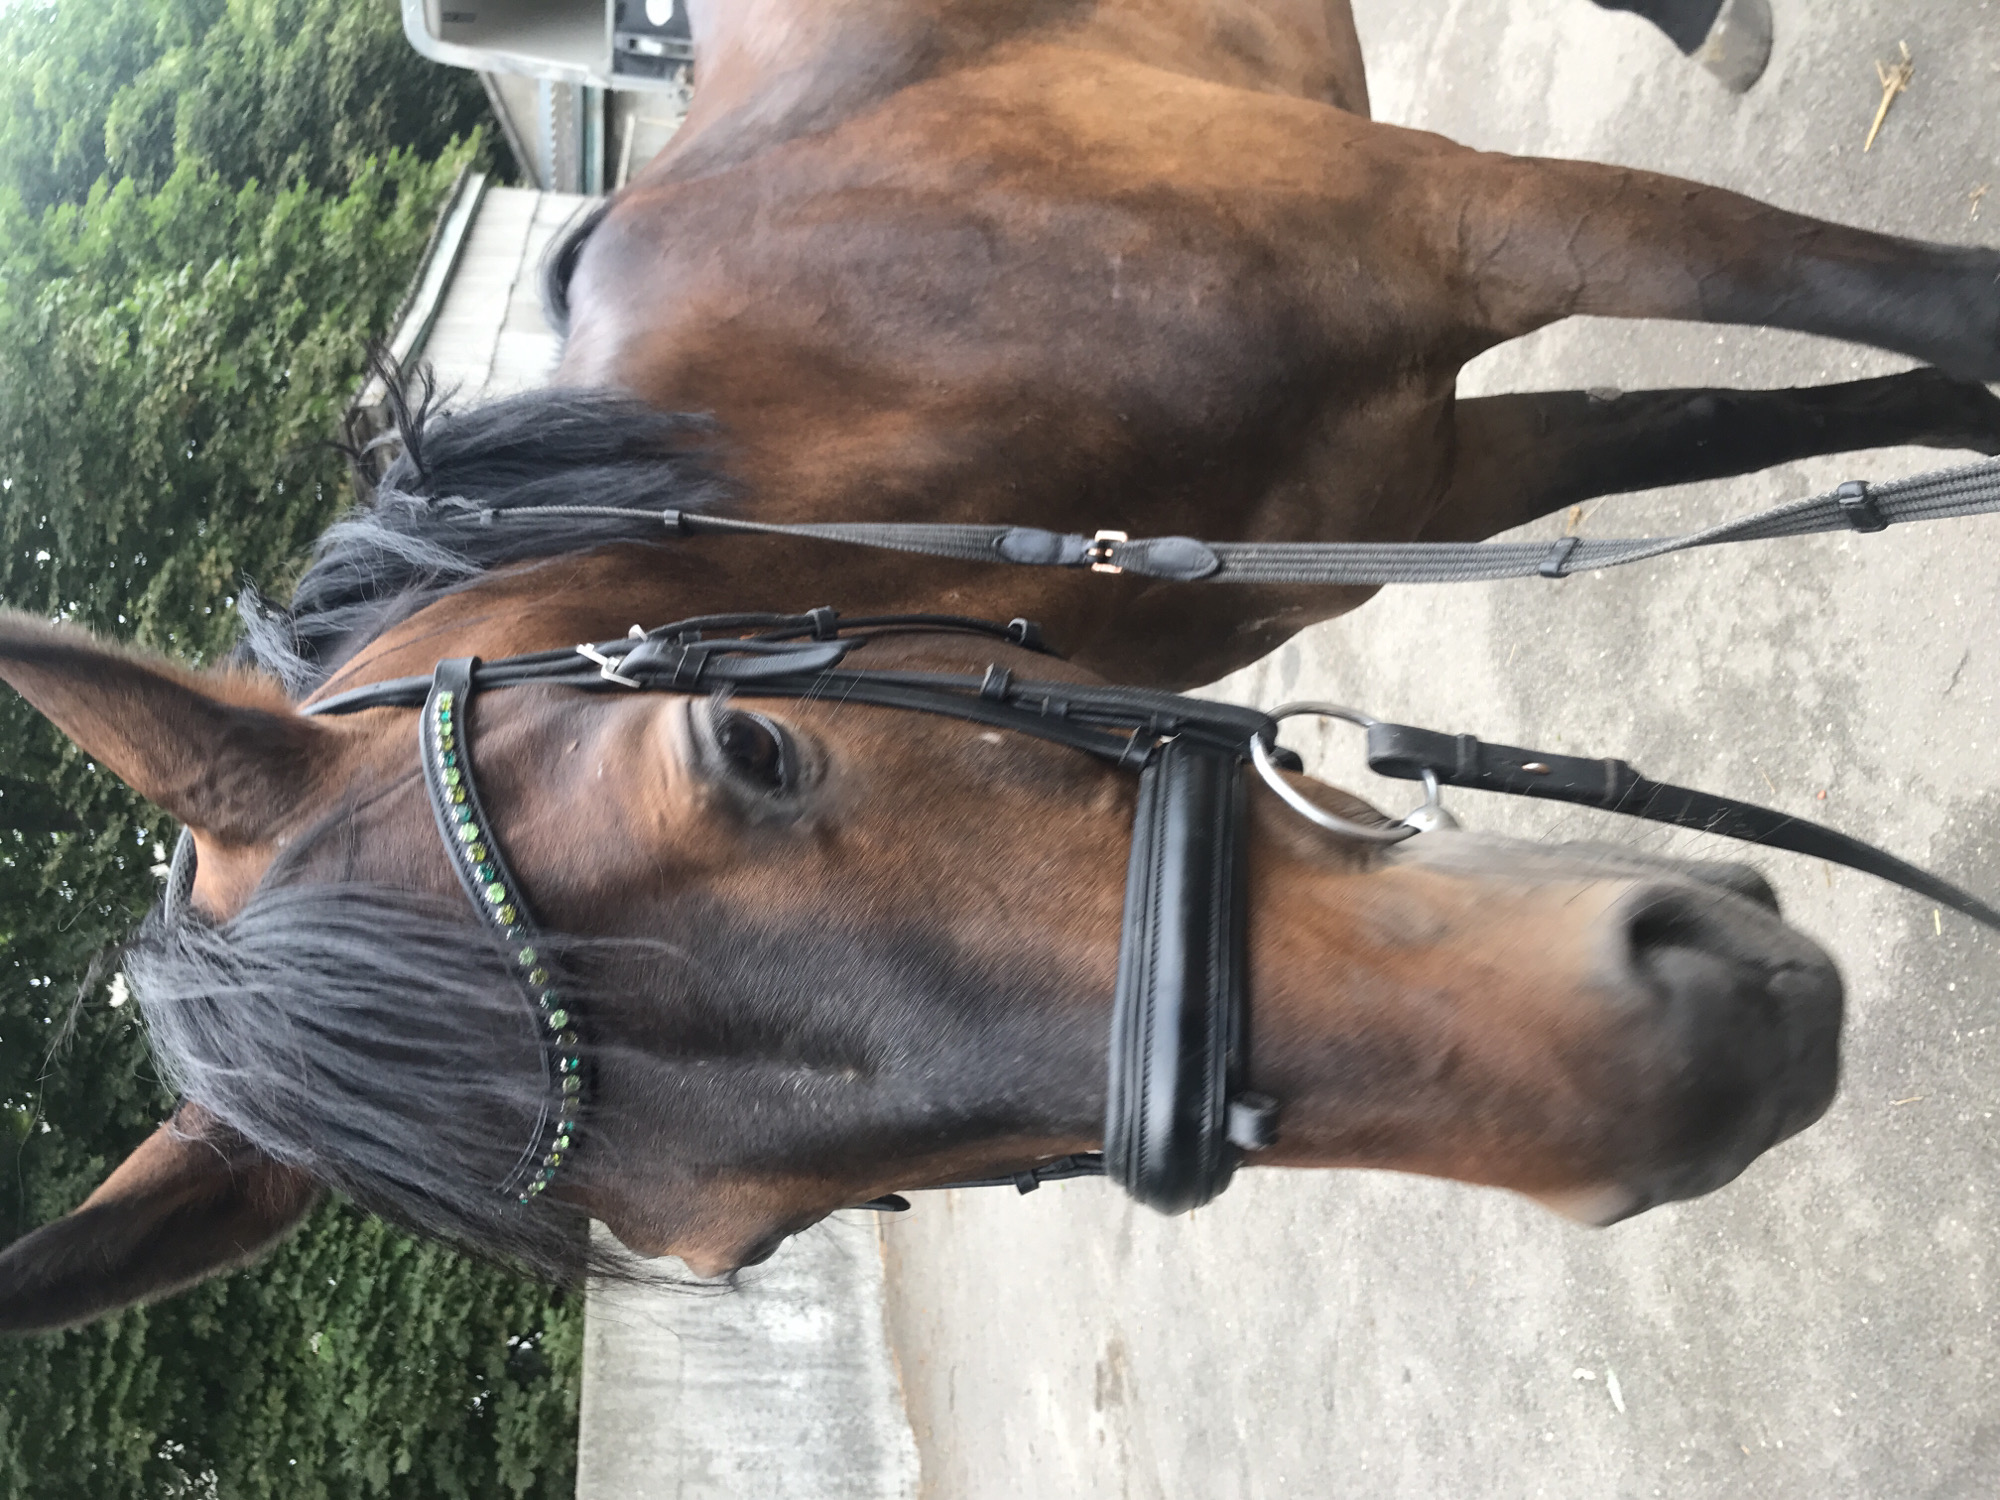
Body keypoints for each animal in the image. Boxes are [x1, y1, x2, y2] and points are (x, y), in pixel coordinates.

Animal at [5, 0, 1997, 1330]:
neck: (906, 344)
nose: (1703, 1060)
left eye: (748, 750)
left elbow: (1919, 303)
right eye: (760, 1237)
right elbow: (1767, 423)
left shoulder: (1479, 220)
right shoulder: (1435, 475)